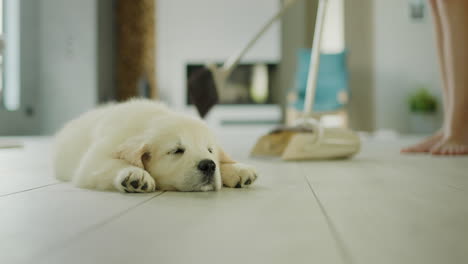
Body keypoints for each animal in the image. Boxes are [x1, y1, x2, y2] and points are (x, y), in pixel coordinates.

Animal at [54, 99, 260, 192]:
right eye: (177, 151)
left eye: (209, 150)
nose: (208, 165)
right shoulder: (94, 160)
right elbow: (111, 163)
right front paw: (135, 174)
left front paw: (237, 169)